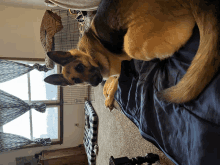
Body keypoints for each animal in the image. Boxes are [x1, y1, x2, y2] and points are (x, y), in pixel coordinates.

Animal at [44, 0, 220, 109]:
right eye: (76, 81)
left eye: (80, 67)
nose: (95, 81)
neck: (91, 54)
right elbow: (110, 81)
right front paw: (106, 89)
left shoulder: (119, 69)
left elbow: (115, 83)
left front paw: (109, 96)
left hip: (131, 45)